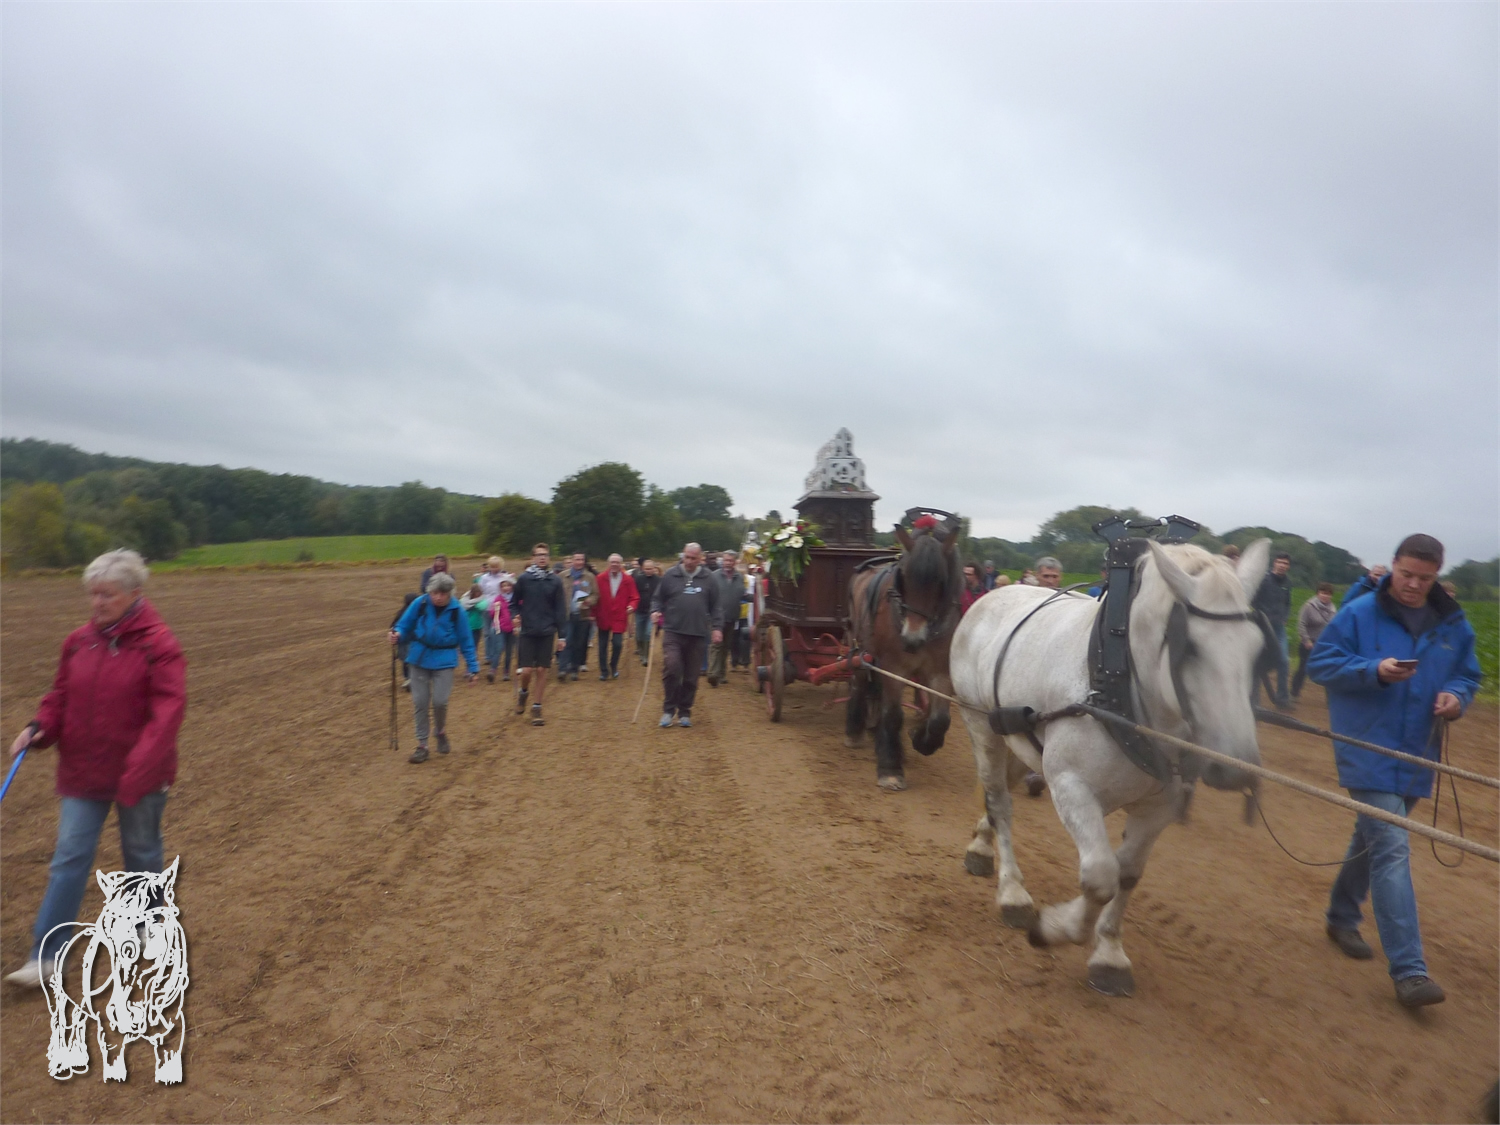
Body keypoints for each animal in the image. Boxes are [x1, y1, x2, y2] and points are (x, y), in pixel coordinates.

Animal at [846, 513, 960, 792]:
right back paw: (855, 730)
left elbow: (940, 718)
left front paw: (921, 739)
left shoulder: (940, 672)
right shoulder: (893, 668)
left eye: (941, 581)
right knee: (859, 684)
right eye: (905, 577)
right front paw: (890, 767)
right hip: (860, 648)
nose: (912, 639)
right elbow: (893, 715)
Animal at [948, 543, 1266, 1002]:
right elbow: (1101, 876)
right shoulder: (1070, 786)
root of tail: (990, 596)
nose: (1236, 769)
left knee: (999, 797)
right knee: (1000, 803)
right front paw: (1054, 929)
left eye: (1257, 649)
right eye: (1189, 648)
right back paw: (1012, 893)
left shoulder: (1160, 806)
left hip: (1016, 739)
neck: (1119, 690)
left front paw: (1109, 953)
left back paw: (980, 847)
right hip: (980, 726)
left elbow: (1128, 874)